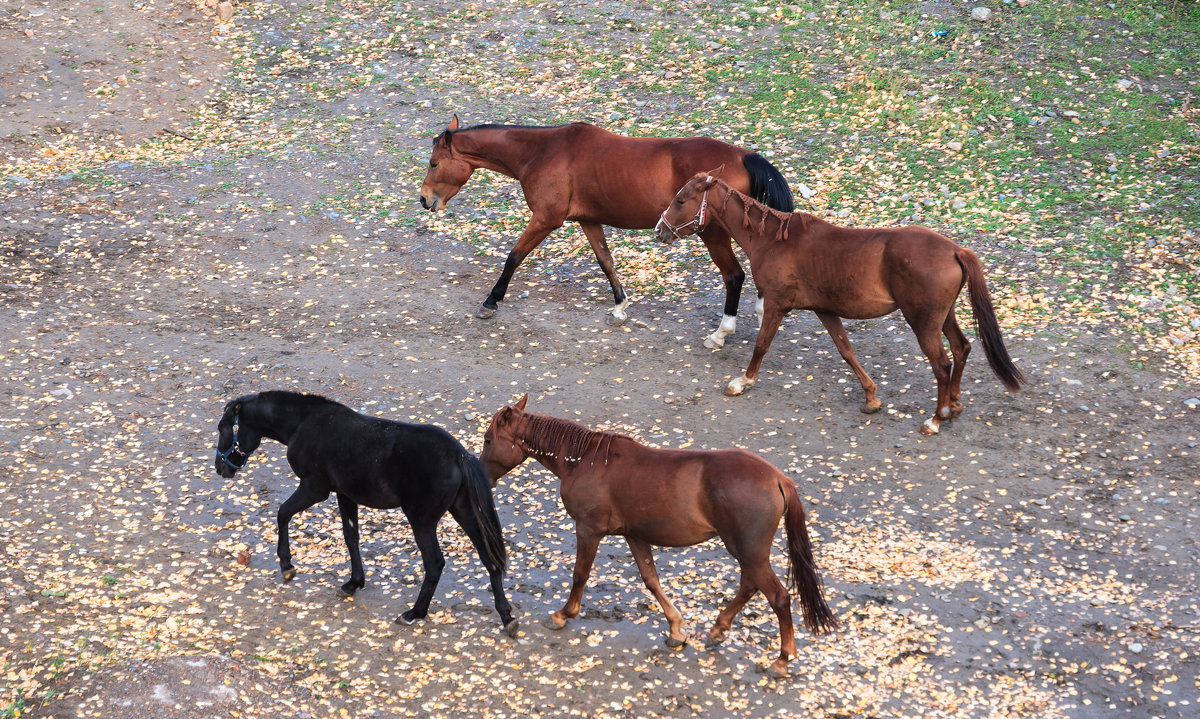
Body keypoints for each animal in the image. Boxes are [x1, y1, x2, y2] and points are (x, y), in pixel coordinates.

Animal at [211, 393, 516, 633]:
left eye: (223, 427)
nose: (221, 468)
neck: (304, 424)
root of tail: (457, 454)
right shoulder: (345, 494)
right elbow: (351, 537)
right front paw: (353, 583)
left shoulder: (314, 488)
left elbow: (283, 513)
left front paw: (287, 565)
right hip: (463, 511)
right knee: (489, 559)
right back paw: (507, 617)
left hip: (421, 520)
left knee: (434, 564)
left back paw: (414, 613)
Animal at [417, 114, 792, 345]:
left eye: (434, 163)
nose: (424, 200)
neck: (543, 152)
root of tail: (743, 155)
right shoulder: (588, 220)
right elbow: (606, 261)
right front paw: (620, 306)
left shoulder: (546, 219)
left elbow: (514, 256)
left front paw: (491, 301)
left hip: (712, 233)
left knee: (734, 275)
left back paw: (722, 331)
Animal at [477, 396, 835, 676]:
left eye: (488, 440)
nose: (483, 475)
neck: (585, 461)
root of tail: (777, 478)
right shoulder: (634, 535)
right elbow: (651, 579)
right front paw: (676, 629)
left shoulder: (588, 529)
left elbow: (580, 574)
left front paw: (563, 615)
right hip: (748, 552)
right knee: (749, 586)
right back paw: (718, 630)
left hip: (749, 550)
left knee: (778, 596)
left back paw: (782, 660)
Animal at [652, 168, 1027, 436]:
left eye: (681, 199)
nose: (660, 230)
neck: (773, 241)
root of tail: (954, 249)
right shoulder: (825, 310)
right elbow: (846, 351)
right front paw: (871, 397)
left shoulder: (776, 305)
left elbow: (761, 345)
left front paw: (742, 382)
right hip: (943, 316)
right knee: (962, 349)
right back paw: (955, 405)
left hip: (923, 321)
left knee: (942, 363)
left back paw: (936, 418)